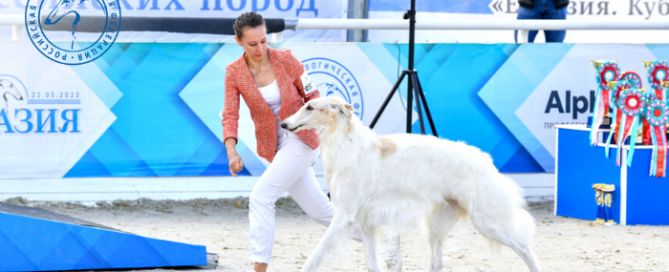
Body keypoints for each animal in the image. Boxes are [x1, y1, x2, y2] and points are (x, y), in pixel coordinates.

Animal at [280, 97, 540, 272]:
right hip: (436, 225)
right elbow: (371, 264)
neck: (347, 144)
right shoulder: (365, 222)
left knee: (526, 248)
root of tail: (487, 162)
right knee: (437, 263)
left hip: (488, 223)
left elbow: (314, 256)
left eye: (310, 107)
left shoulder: (345, 217)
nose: (283, 124)